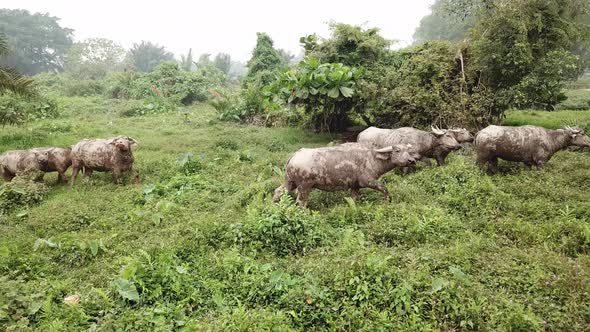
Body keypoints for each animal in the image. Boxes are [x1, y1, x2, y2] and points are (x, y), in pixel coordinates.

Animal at [274, 143, 420, 208]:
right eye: (397, 150)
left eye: (408, 151)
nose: (411, 160)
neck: (372, 158)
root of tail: (294, 156)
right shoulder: (368, 181)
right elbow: (384, 188)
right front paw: (387, 201)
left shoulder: (354, 186)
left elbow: (355, 199)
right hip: (304, 186)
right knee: (301, 202)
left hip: (290, 181)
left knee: (279, 191)